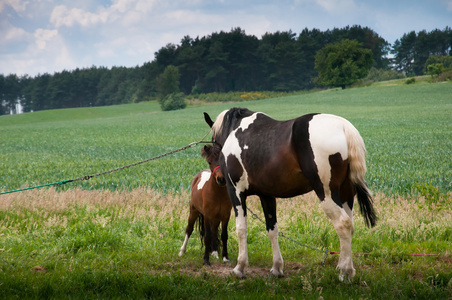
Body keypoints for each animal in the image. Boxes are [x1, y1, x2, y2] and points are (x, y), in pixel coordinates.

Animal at [203, 107, 376, 282]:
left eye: (214, 144)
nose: (220, 179)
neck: (235, 130)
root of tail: (344, 127)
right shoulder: (267, 195)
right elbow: (272, 230)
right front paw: (276, 268)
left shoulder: (236, 192)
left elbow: (241, 229)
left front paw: (240, 268)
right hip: (346, 195)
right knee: (349, 225)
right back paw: (344, 267)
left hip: (327, 194)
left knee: (343, 224)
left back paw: (345, 273)